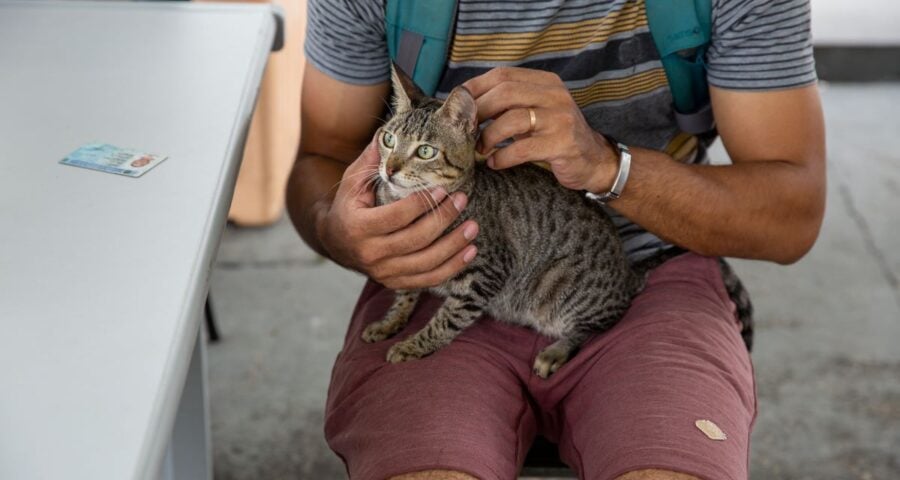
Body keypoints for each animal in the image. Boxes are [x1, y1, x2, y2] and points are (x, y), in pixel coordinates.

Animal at [360, 64, 752, 378]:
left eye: (425, 151)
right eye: (388, 139)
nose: (389, 169)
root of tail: (627, 272)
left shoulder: (486, 273)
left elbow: (447, 319)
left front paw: (413, 345)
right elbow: (405, 291)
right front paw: (390, 322)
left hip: (562, 289)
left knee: (602, 321)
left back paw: (556, 351)